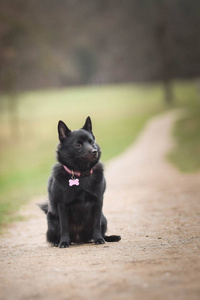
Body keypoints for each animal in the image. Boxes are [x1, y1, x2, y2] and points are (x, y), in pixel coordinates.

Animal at [39, 116, 120, 247]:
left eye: (92, 142)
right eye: (78, 145)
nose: (94, 151)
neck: (81, 174)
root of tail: (78, 239)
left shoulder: (98, 202)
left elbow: (96, 224)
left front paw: (98, 239)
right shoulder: (62, 205)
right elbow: (64, 226)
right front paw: (64, 242)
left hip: (104, 219)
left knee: (102, 231)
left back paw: (110, 237)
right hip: (52, 221)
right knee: (53, 236)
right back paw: (57, 242)